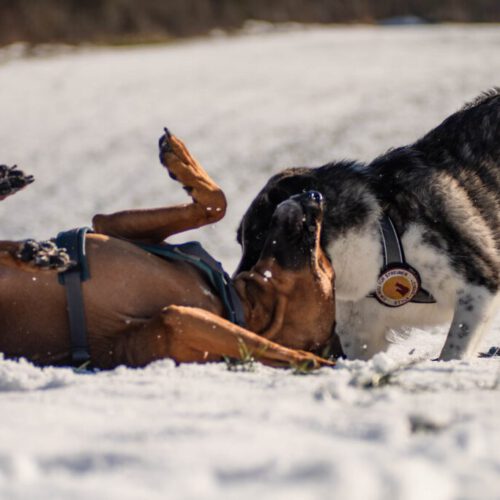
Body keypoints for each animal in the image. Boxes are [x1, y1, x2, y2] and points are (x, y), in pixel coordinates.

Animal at [0, 131, 336, 370]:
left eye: (326, 266)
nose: (315, 195)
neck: (235, 300)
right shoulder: (110, 226)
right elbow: (216, 203)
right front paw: (180, 160)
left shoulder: (175, 324)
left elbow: (277, 349)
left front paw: (316, 362)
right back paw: (16, 205)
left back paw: (33, 253)